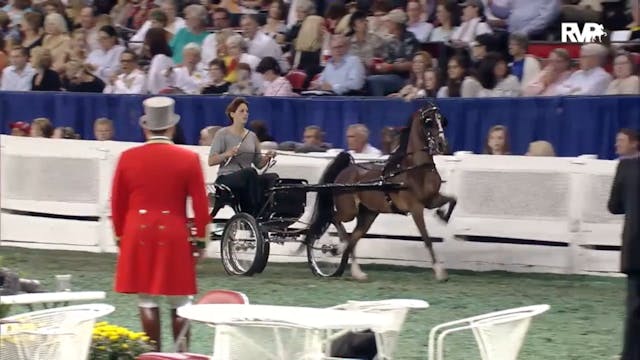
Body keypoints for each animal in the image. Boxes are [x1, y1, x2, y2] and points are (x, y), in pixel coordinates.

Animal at [304, 102, 456, 282]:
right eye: (428, 121)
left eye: (442, 120)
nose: (442, 145)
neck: (415, 169)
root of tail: (346, 170)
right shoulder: (416, 208)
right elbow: (427, 238)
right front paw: (439, 271)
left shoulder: (431, 200)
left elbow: (453, 200)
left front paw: (442, 215)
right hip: (349, 211)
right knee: (333, 220)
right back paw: (338, 247)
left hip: (368, 214)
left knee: (353, 238)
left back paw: (357, 271)